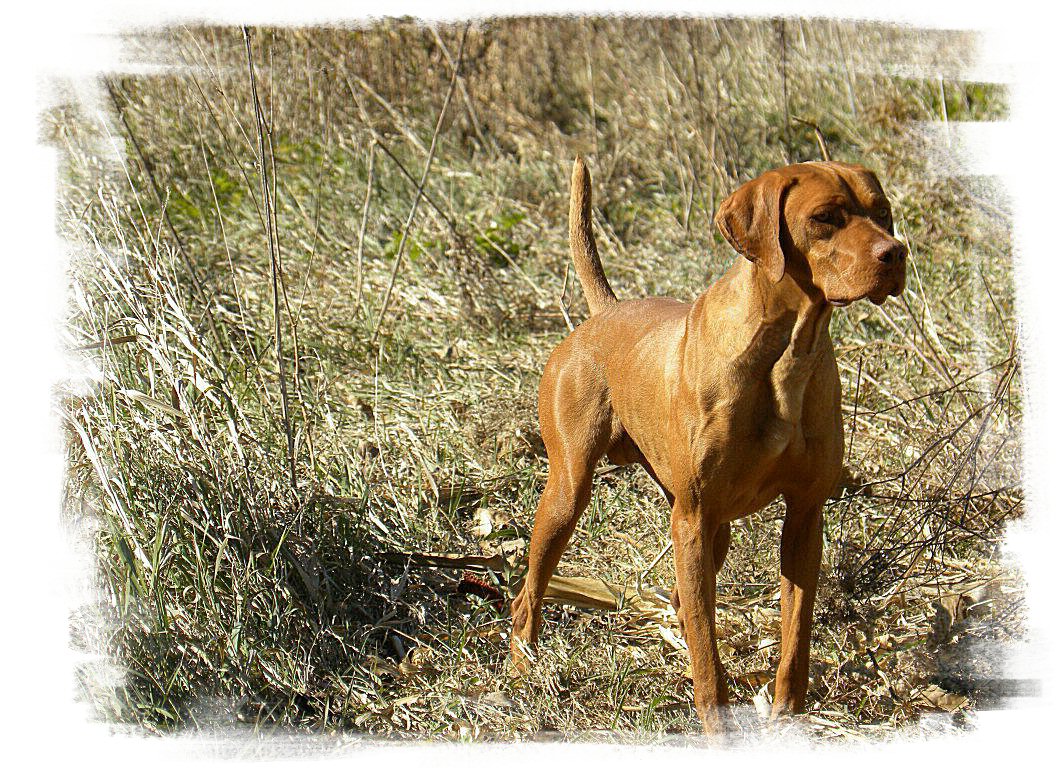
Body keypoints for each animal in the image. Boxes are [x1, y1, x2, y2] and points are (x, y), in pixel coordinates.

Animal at [508, 155, 906, 731]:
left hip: (709, 528)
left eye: (883, 213)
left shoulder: (804, 515)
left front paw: (786, 714)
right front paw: (717, 725)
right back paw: (523, 662)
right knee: (532, 589)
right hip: (570, 494)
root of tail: (603, 314)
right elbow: (707, 645)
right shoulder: (693, 519)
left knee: (685, 599)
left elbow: (795, 634)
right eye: (825, 218)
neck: (785, 351)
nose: (895, 253)